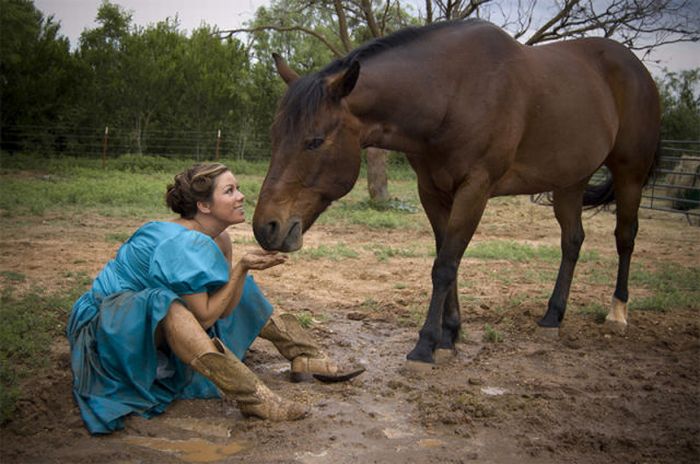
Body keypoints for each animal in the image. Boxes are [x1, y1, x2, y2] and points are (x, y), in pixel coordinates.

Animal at [252, 19, 660, 366]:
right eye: (274, 135)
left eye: (315, 141)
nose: (265, 228)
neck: (454, 92)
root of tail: (636, 68)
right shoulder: (433, 192)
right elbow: (446, 258)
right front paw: (449, 334)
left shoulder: (474, 188)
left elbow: (446, 265)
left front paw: (425, 344)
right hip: (570, 181)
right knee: (572, 241)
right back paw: (552, 315)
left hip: (629, 174)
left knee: (625, 237)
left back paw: (617, 313)